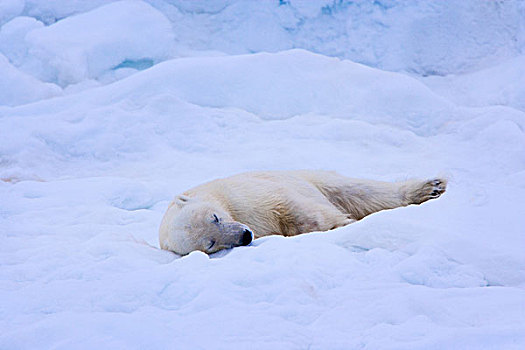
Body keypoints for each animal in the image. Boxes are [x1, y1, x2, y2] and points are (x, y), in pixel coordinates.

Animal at [160, 170, 446, 254]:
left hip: (313, 178)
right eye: (210, 243)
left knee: (360, 191)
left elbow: (286, 205)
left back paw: (431, 187)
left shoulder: (241, 196)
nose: (245, 236)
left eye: (215, 217)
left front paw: (342, 224)